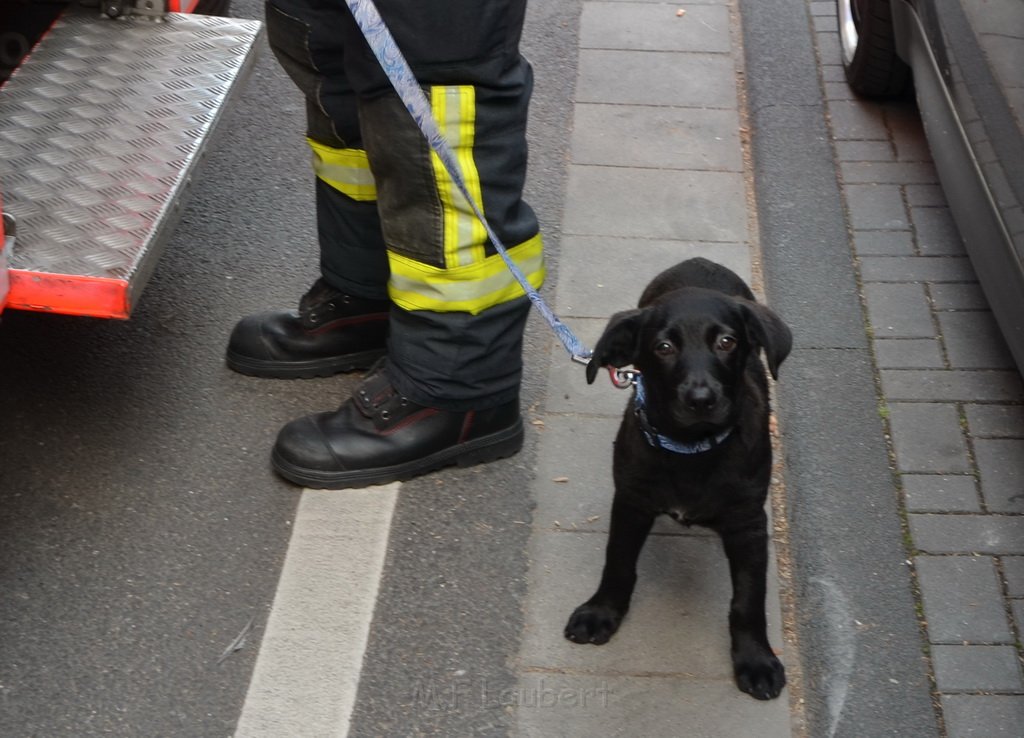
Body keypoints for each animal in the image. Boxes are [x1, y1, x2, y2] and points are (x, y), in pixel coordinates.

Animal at [561, 255, 790, 700]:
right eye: (663, 348)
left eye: (726, 342)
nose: (701, 399)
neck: (692, 449)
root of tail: (700, 261)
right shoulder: (630, 501)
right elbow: (617, 562)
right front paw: (602, 611)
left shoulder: (748, 524)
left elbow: (748, 600)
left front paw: (756, 659)